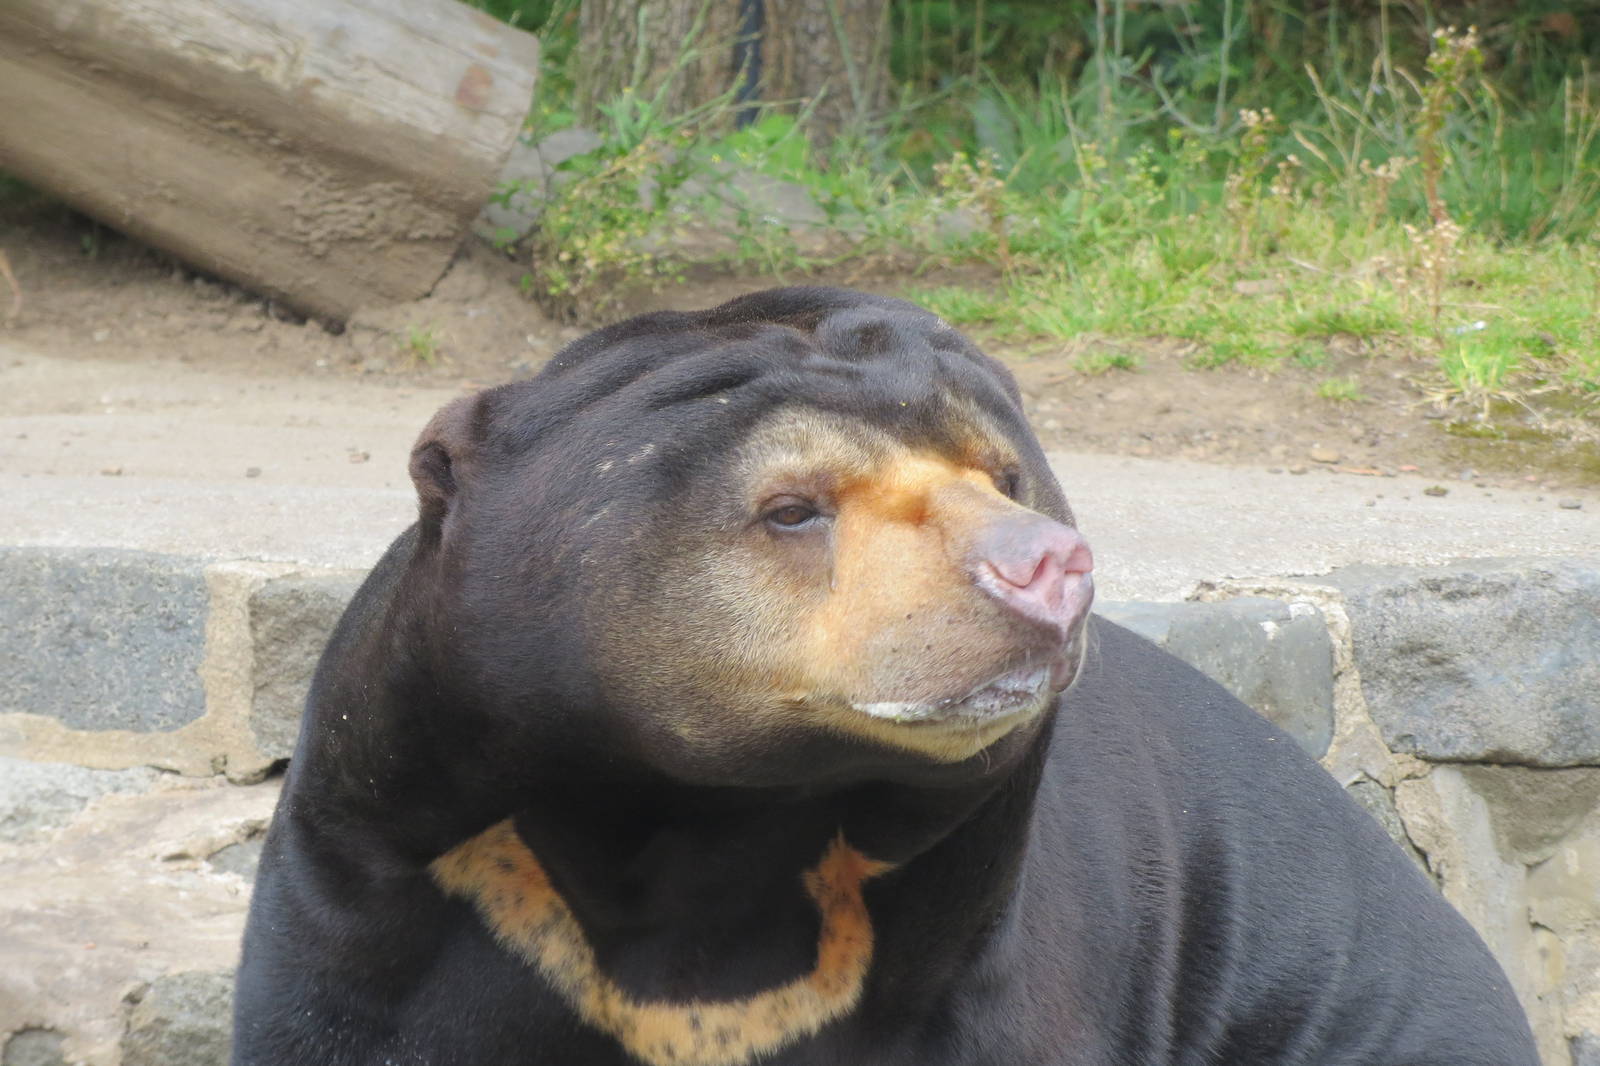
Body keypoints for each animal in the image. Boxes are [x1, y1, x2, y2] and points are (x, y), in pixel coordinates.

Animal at [233, 287, 1537, 1065]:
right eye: (791, 507)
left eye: (1003, 475)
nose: (1046, 567)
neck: (700, 832)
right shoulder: (383, 863)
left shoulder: (967, 956)